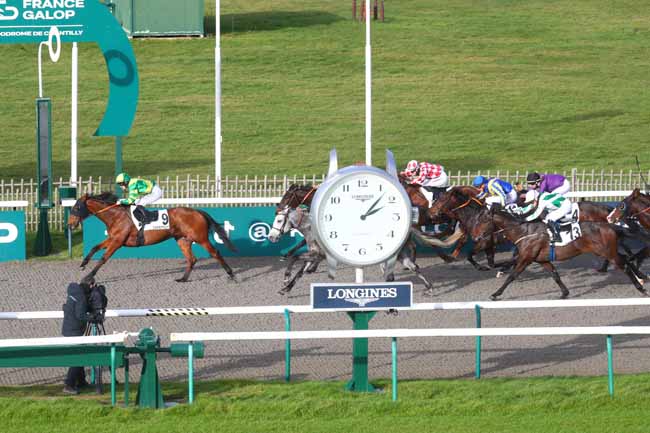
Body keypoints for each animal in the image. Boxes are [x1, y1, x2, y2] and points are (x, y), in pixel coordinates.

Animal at [67, 193, 238, 282]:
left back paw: (231, 275)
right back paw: (182, 278)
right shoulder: (113, 239)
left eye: (76, 207)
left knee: (215, 253)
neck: (115, 216)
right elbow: (94, 247)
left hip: (201, 238)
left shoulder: (117, 241)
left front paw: (88, 277)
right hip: (183, 240)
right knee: (192, 259)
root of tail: (198, 212)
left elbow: (103, 258)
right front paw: (83, 264)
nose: (70, 225)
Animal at [466, 207, 644, 300]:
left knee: (625, 265)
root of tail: (610, 226)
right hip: (606, 252)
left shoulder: (526, 258)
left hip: (606, 252)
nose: (475, 237)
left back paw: (641, 287)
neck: (524, 232)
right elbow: (555, 275)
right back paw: (642, 277)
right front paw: (564, 293)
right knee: (626, 259)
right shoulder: (542, 260)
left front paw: (496, 293)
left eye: (483, 221)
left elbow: (512, 276)